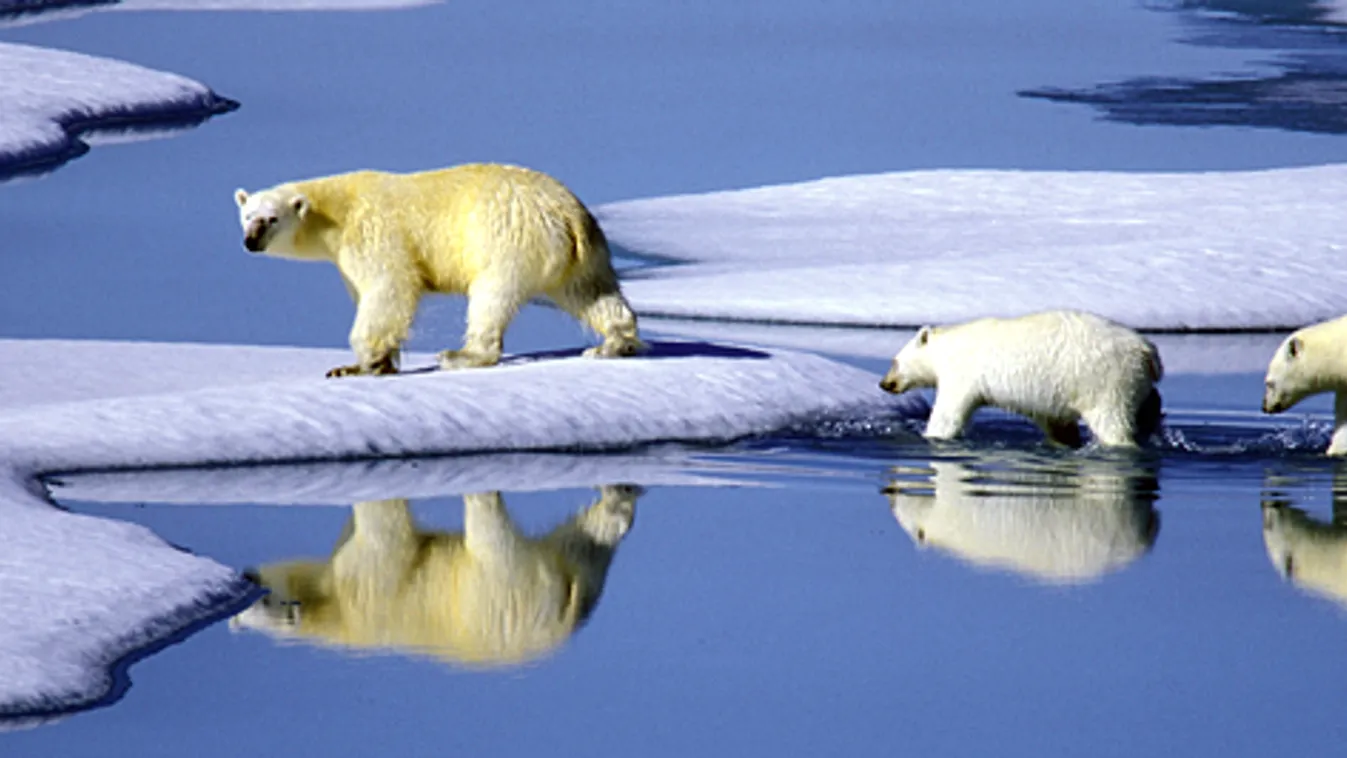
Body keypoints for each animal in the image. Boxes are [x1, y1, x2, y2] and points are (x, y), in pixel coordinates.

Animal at [233, 162, 646, 376]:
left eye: (271, 218)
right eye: (247, 216)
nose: (250, 242)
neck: (336, 211)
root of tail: (567, 214)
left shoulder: (372, 233)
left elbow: (389, 289)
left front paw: (359, 364)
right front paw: (377, 363)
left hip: (507, 238)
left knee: (491, 296)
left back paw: (460, 355)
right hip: (584, 252)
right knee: (590, 292)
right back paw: (612, 344)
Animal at [878, 309, 1163, 446]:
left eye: (894, 361)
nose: (885, 383)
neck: (948, 346)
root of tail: (1146, 348)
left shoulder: (963, 372)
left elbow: (949, 413)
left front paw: (930, 435)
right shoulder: (1046, 398)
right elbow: (1056, 423)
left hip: (1105, 379)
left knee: (1112, 421)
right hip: (1134, 378)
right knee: (1149, 404)